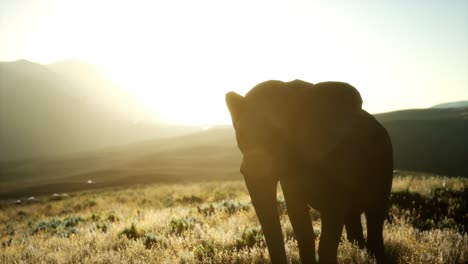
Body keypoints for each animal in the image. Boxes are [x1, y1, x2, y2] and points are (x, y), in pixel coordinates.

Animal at [225, 79, 394, 262]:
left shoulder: (340, 156)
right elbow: (298, 218)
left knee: (375, 219)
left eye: (279, 133)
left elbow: (332, 212)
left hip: (384, 163)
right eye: (241, 135)